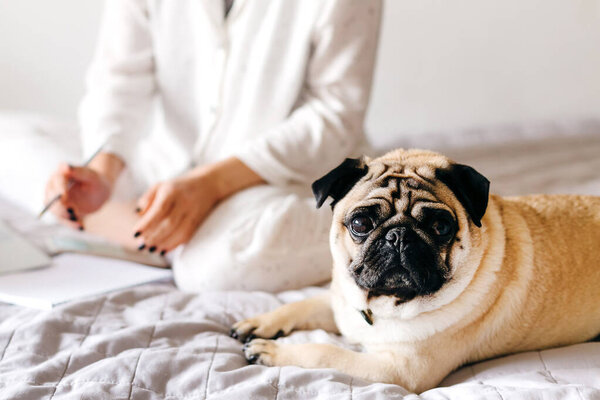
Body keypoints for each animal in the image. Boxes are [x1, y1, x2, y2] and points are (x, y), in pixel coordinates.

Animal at [230, 148, 600, 392]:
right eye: (360, 223)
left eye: (441, 226)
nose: (398, 236)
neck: (381, 306)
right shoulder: (341, 303)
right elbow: (302, 304)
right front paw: (261, 323)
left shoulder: (396, 370)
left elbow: (323, 352)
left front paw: (271, 351)